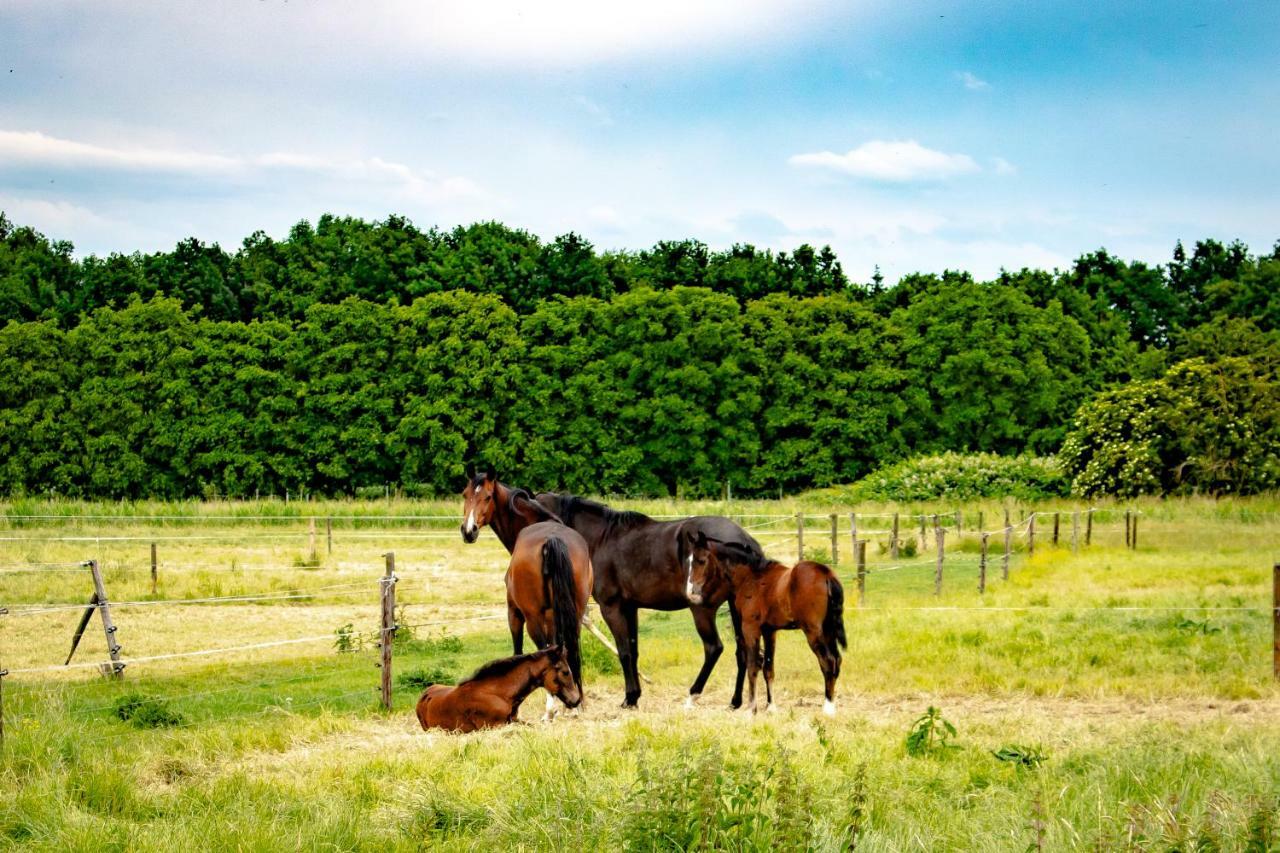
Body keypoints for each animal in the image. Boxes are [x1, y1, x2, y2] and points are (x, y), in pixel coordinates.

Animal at [414, 645, 581, 732]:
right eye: (565, 672)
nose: (576, 700)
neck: (498, 693)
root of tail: (424, 695)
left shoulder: (515, 719)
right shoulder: (494, 726)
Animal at [460, 466, 593, 712]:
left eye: (488, 497)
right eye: (465, 494)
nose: (468, 530)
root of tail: (552, 539)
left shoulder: (514, 614)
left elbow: (519, 651)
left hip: (532, 618)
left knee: (543, 649)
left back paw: (551, 708)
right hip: (576, 613)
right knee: (571, 646)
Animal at [529, 489, 757, 706]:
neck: (602, 540)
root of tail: (743, 539)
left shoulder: (612, 608)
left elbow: (624, 652)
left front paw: (629, 697)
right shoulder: (630, 608)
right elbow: (633, 650)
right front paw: (635, 695)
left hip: (702, 609)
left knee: (714, 648)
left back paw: (693, 695)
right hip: (737, 607)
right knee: (742, 651)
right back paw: (736, 701)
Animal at [686, 527, 844, 712]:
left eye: (701, 560)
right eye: (690, 561)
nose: (691, 591)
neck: (751, 577)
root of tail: (826, 574)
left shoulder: (750, 628)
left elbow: (752, 665)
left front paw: (751, 708)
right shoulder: (770, 631)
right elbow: (768, 667)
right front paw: (771, 706)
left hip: (813, 631)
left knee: (828, 661)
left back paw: (828, 708)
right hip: (828, 629)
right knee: (837, 660)